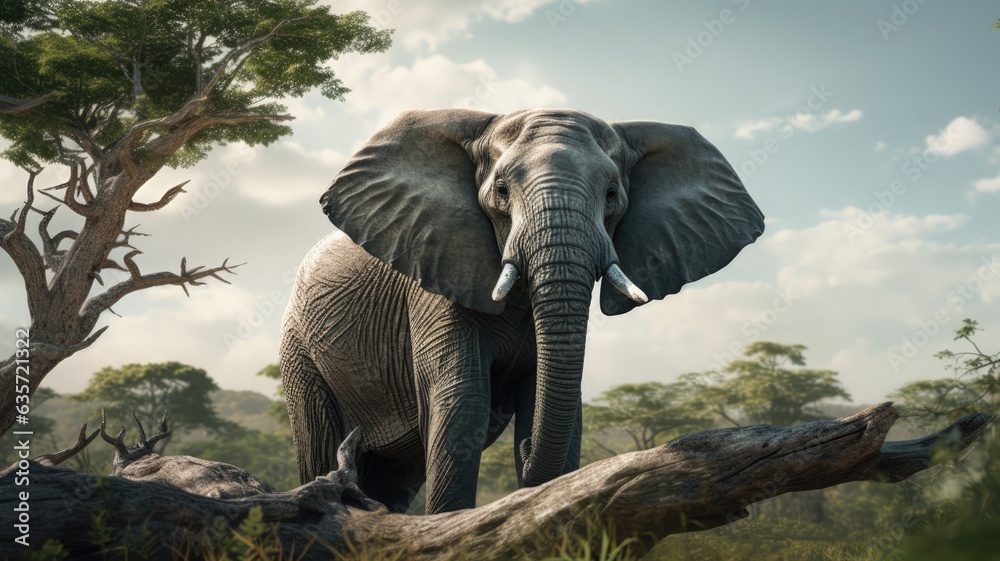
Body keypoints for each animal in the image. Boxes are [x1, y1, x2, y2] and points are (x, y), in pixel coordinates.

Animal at [279, 108, 764, 514]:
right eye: (500, 191)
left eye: (612, 195)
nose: (526, 448)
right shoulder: (436, 279)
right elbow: (462, 405)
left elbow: (550, 402)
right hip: (299, 351)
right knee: (320, 450)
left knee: (396, 477)